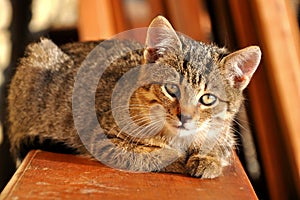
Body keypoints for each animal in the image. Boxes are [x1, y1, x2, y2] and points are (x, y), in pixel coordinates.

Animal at [6, 15, 260, 178]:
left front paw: (207, 160)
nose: (184, 117)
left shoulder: (225, 135)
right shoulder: (103, 140)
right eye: (172, 89)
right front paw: (177, 158)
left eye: (207, 98)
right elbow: (151, 155)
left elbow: (220, 147)